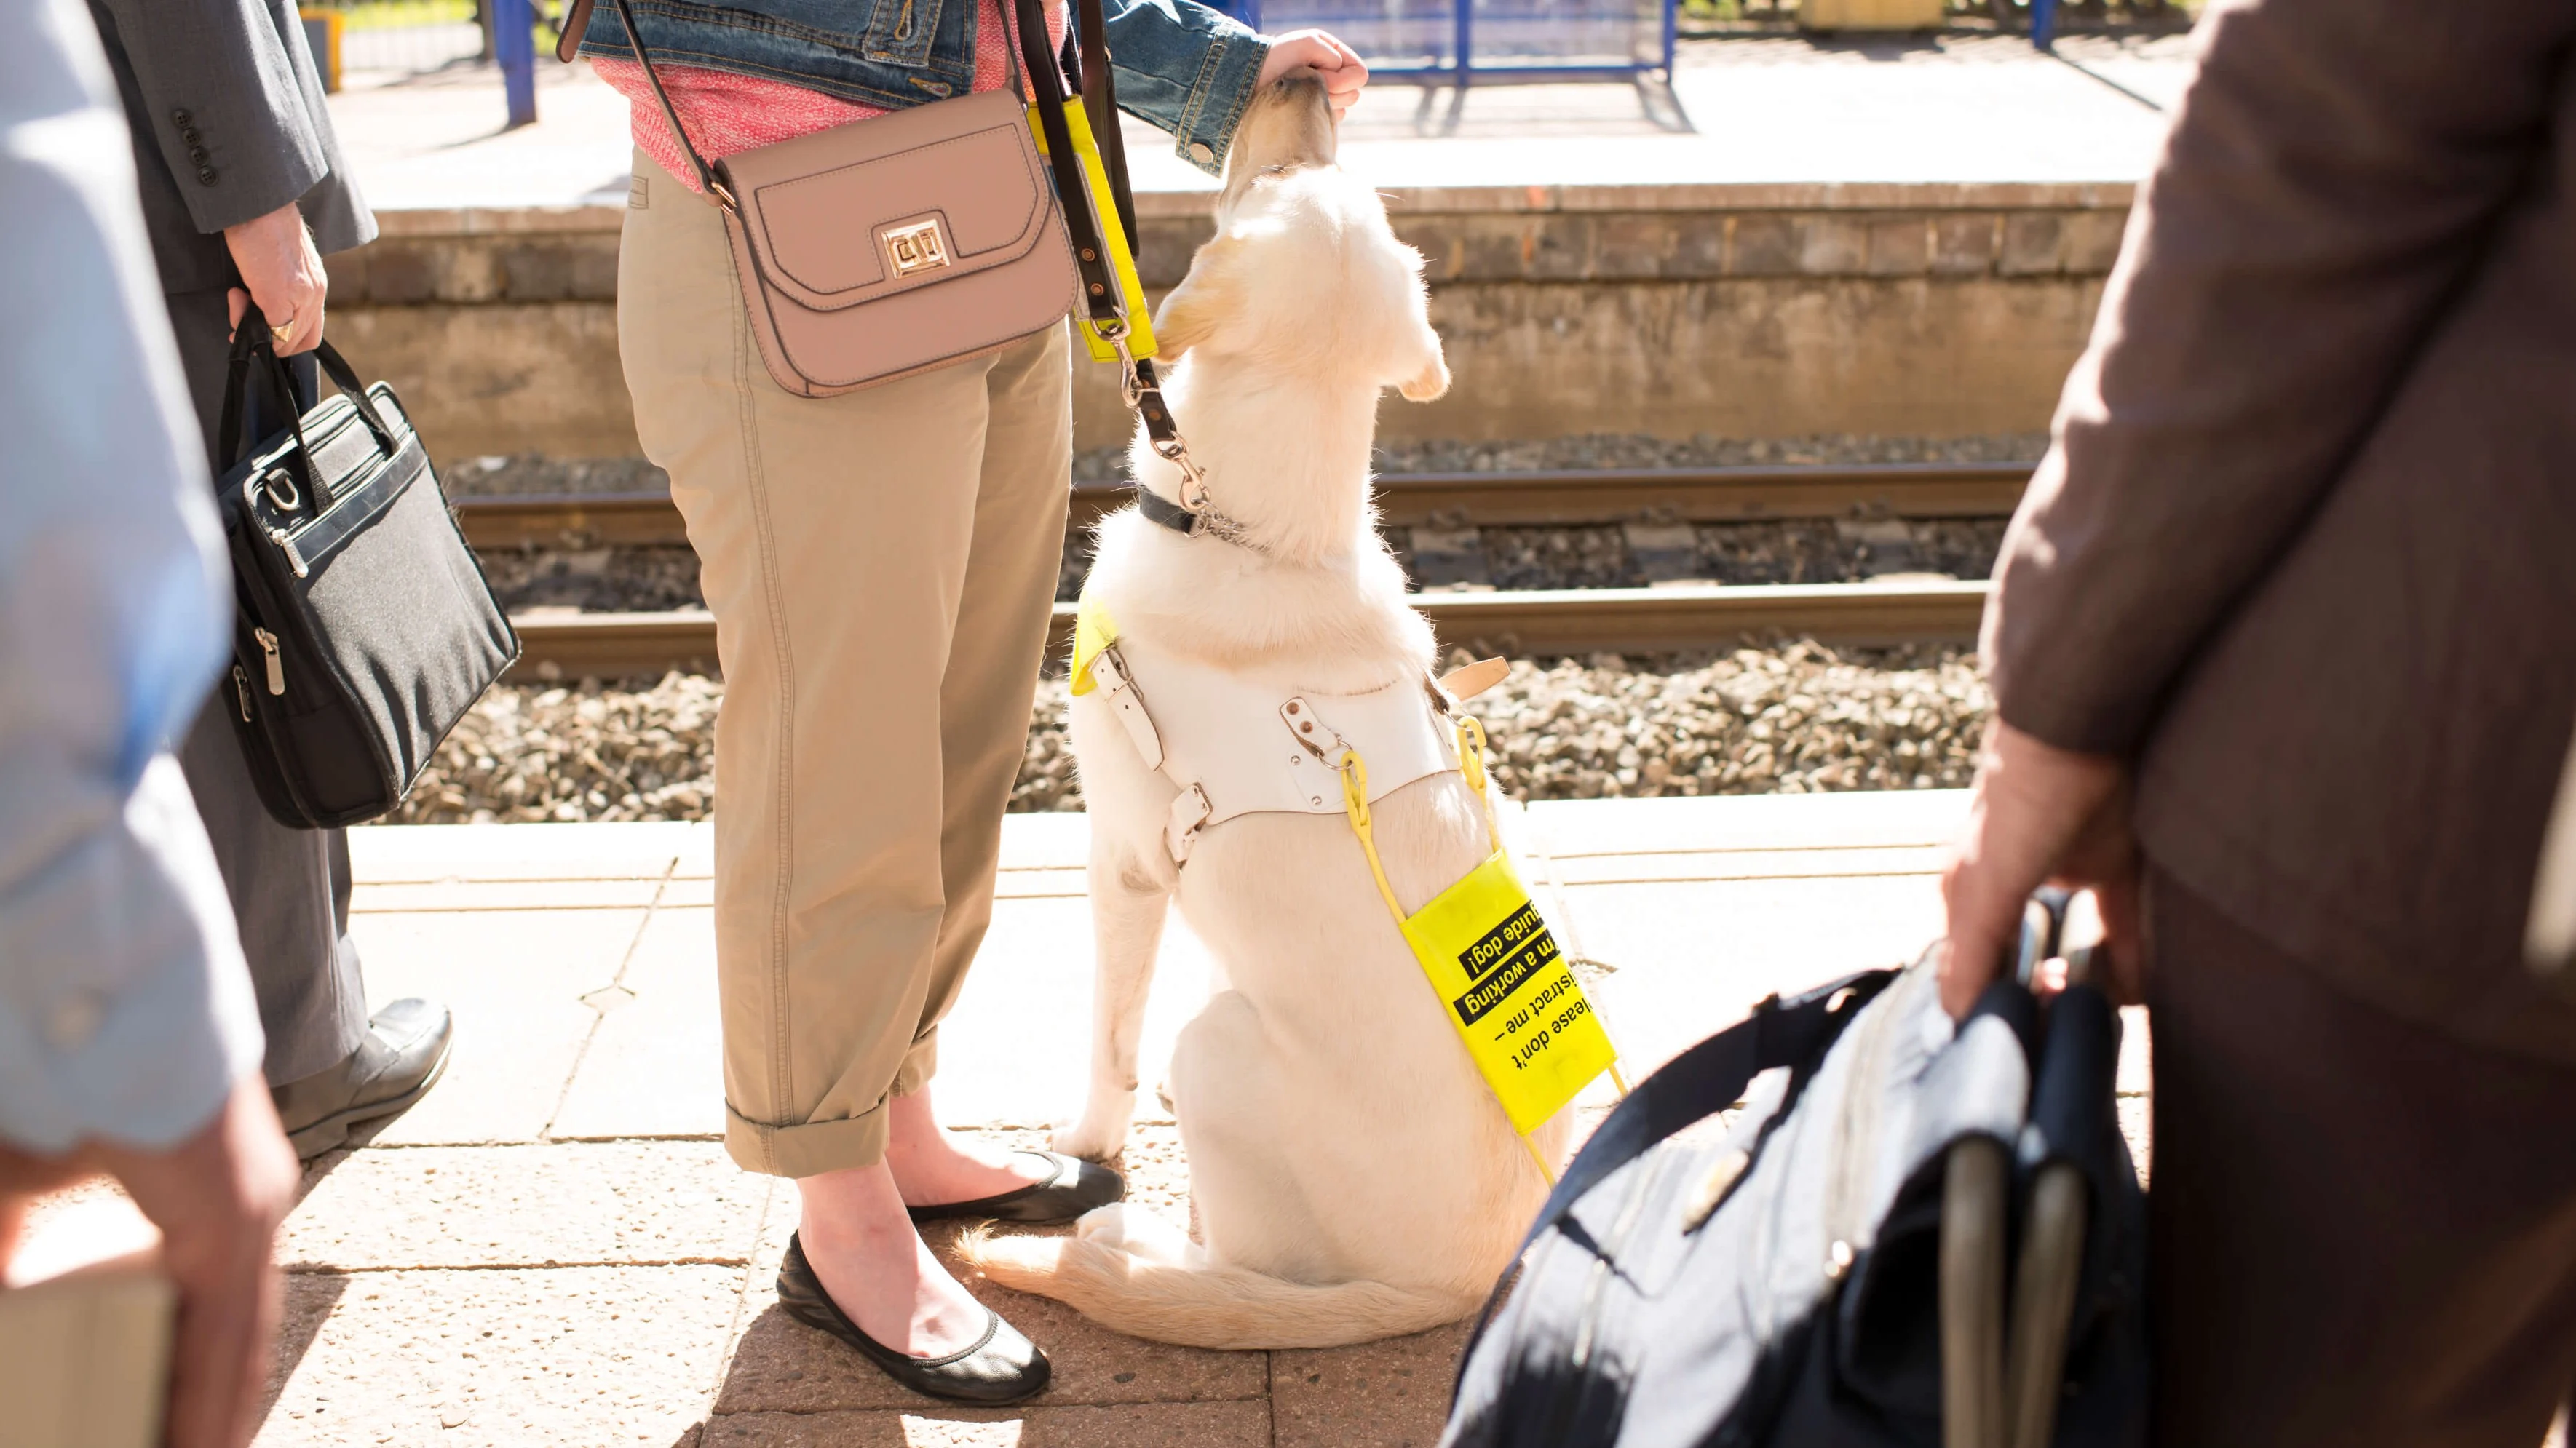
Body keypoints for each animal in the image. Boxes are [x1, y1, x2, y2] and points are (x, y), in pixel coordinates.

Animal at [958, 76, 1617, 1340]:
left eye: (1268, 182)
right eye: (1319, 163)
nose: (1302, 76)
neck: (1260, 531)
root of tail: (1452, 1288)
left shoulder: (1121, 855)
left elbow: (1106, 1043)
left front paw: (1083, 1151)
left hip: (1212, 1049)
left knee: (1235, 1260)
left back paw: (1129, 1241)